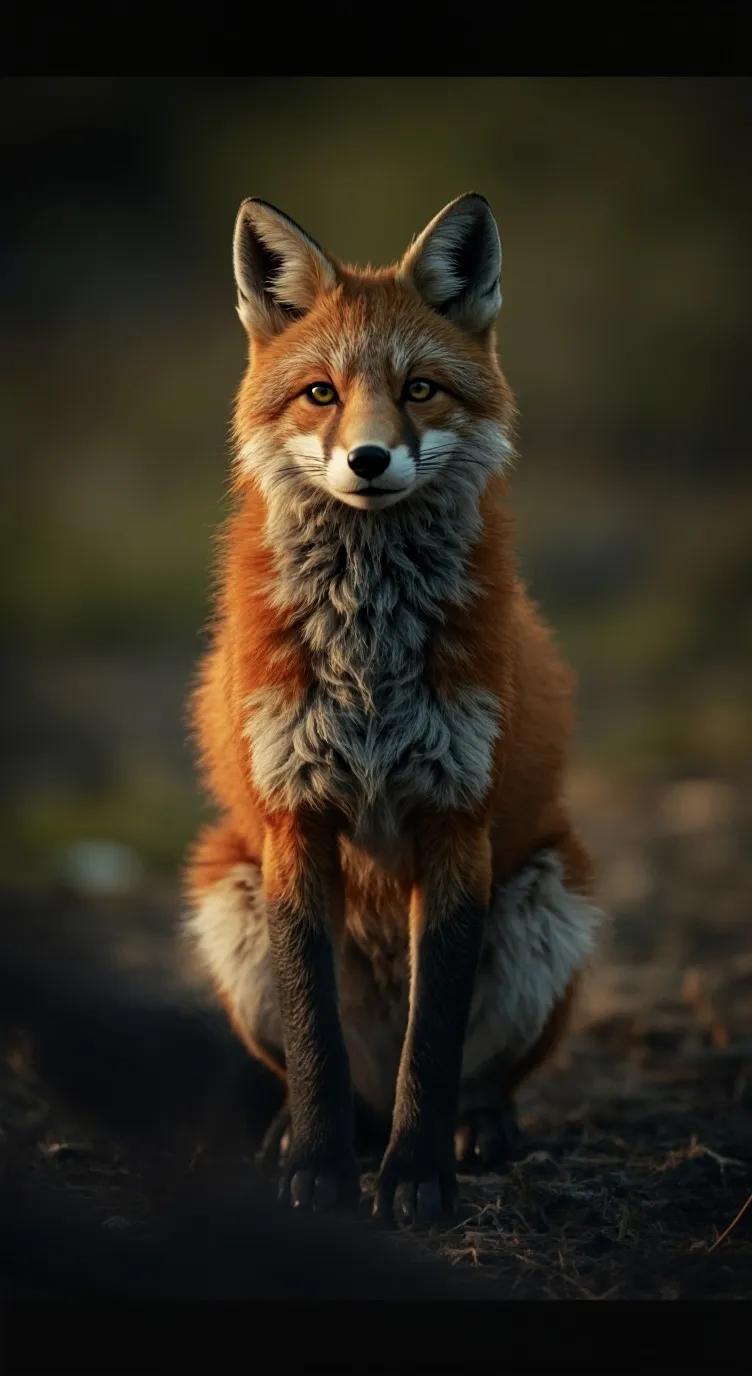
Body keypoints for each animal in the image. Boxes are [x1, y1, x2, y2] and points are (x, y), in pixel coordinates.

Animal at [184, 191, 601, 1226]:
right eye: (320, 394)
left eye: (419, 390)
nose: (369, 460)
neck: (368, 657)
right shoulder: (294, 819)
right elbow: (316, 1043)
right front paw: (318, 1170)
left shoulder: (457, 819)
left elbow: (433, 1045)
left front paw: (415, 1178)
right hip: (228, 894)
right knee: (334, 1074)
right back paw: (302, 1132)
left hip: (546, 897)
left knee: (478, 1076)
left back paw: (475, 1131)